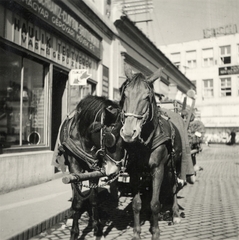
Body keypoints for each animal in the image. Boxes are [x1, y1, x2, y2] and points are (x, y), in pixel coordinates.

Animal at [52, 94, 123, 239]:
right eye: (110, 138)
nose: (115, 171)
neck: (84, 137)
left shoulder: (95, 169)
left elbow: (94, 198)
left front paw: (97, 228)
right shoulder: (74, 166)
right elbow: (78, 200)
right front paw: (74, 232)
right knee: (75, 192)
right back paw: (72, 215)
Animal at [119, 68, 185, 239]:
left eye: (147, 96)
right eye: (125, 94)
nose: (128, 132)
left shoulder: (158, 168)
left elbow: (155, 203)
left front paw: (155, 231)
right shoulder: (134, 171)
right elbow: (136, 204)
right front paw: (136, 232)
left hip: (173, 165)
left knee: (174, 186)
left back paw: (175, 213)